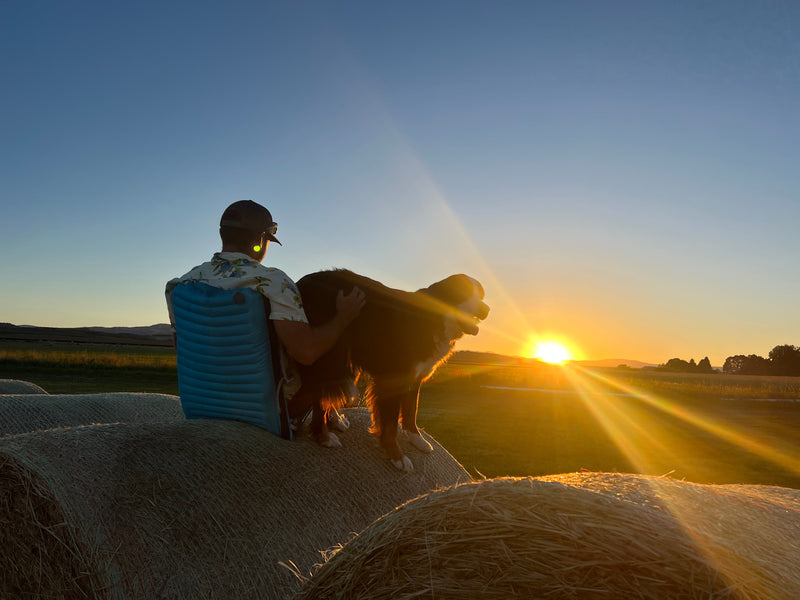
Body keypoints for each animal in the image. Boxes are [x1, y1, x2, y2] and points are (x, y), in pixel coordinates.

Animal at [288, 270, 488, 472]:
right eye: (463, 292)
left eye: (481, 295)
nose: (486, 310)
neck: (432, 319)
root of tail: (304, 281)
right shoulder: (393, 378)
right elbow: (391, 422)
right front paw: (396, 455)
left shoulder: (415, 376)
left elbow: (411, 410)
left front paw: (416, 438)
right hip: (329, 355)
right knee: (317, 396)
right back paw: (323, 436)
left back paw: (336, 420)